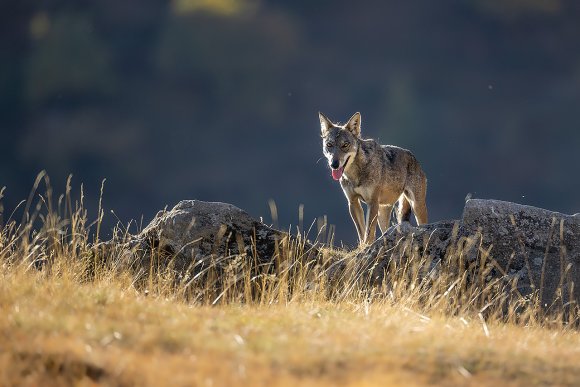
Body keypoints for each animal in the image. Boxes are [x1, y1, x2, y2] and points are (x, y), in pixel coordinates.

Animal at [320, 112, 428, 246]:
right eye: (329, 145)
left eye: (345, 145)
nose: (334, 164)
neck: (355, 174)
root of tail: (414, 158)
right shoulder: (353, 202)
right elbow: (361, 232)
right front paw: (363, 247)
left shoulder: (372, 203)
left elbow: (369, 231)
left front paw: (367, 246)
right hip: (383, 211)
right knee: (386, 230)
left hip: (417, 206)